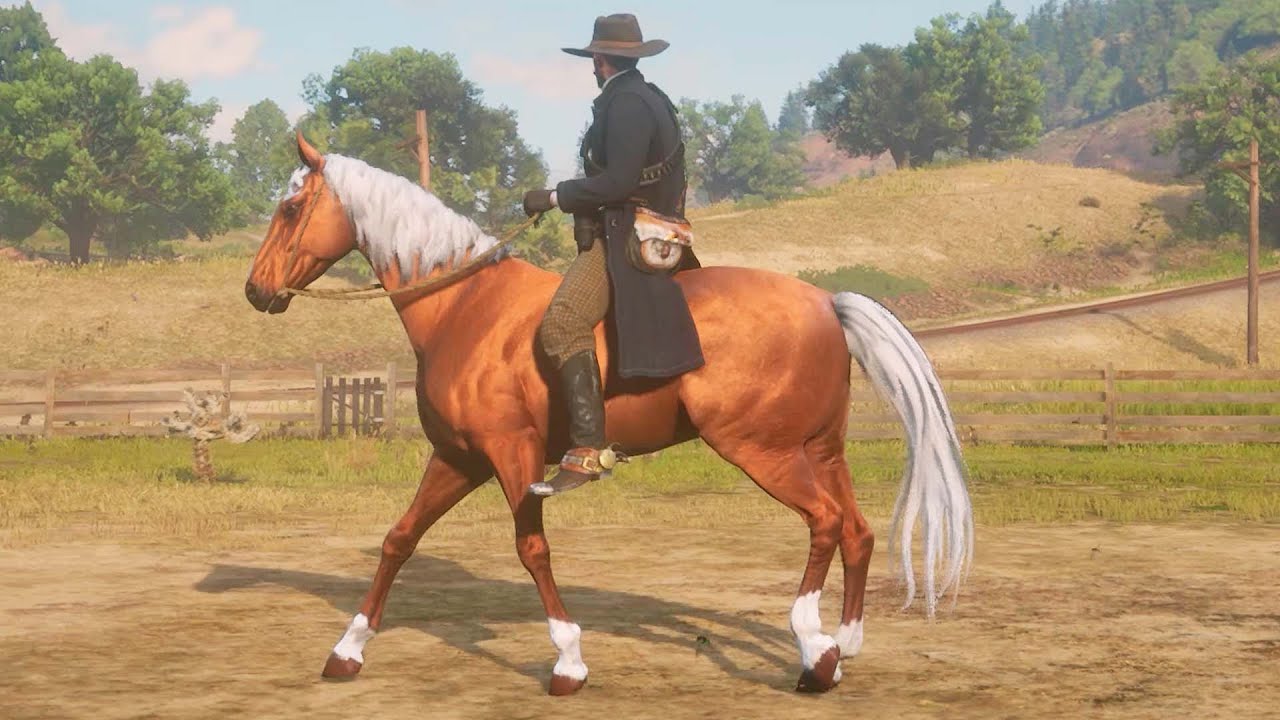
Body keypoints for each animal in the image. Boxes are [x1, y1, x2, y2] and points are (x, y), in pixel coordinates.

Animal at [244, 132, 974, 695]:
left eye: (289, 206)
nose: (256, 290)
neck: (463, 305)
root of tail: (825, 301)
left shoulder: (511, 456)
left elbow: (532, 548)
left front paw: (568, 660)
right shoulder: (458, 457)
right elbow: (399, 539)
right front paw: (347, 650)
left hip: (762, 451)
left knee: (824, 524)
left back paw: (813, 653)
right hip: (820, 450)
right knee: (857, 532)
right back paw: (840, 647)